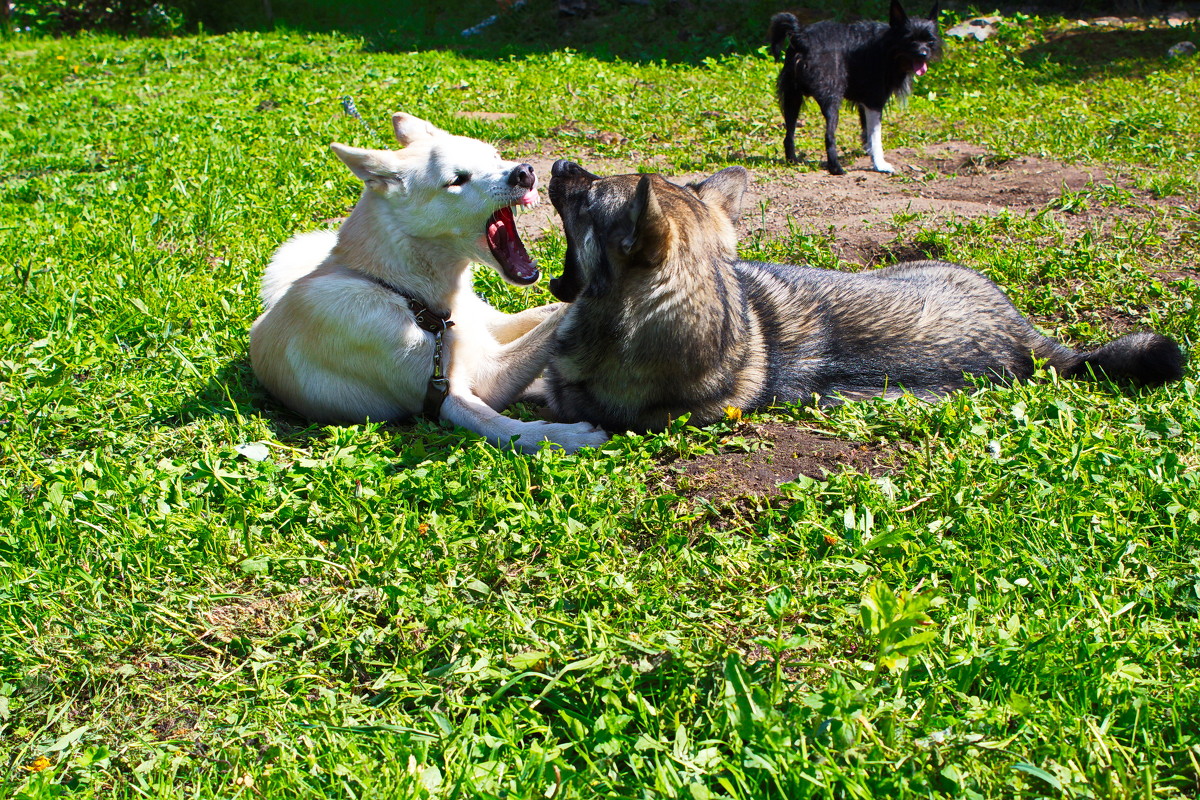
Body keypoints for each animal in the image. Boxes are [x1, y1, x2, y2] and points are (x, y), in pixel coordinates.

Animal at [250, 112, 609, 453]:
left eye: (495, 156)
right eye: (457, 180)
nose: (524, 172)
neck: (404, 294)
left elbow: (552, 315)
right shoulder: (463, 389)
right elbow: (506, 428)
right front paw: (565, 437)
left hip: (489, 323)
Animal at [772, 0, 940, 175]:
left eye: (930, 40)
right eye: (910, 40)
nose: (923, 54)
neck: (887, 44)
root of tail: (800, 37)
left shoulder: (864, 102)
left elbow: (867, 131)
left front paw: (869, 152)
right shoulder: (874, 102)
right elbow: (875, 136)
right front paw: (879, 164)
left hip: (792, 98)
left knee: (789, 135)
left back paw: (792, 160)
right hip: (831, 100)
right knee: (829, 136)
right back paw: (836, 168)